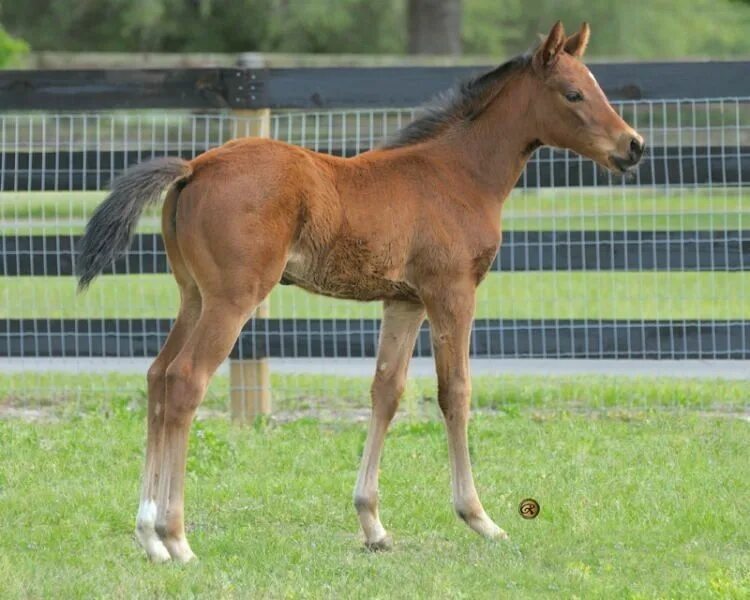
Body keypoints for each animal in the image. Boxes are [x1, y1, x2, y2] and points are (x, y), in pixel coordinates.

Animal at [79, 19, 648, 564]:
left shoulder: (405, 300)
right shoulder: (452, 292)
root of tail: (195, 167)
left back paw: (148, 536)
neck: (458, 174)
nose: (633, 146)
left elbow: (386, 391)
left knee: (157, 376)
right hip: (232, 300)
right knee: (185, 381)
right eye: (573, 93)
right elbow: (455, 391)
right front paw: (480, 518)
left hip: (193, 297)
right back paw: (176, 539)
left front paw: (373, 525)